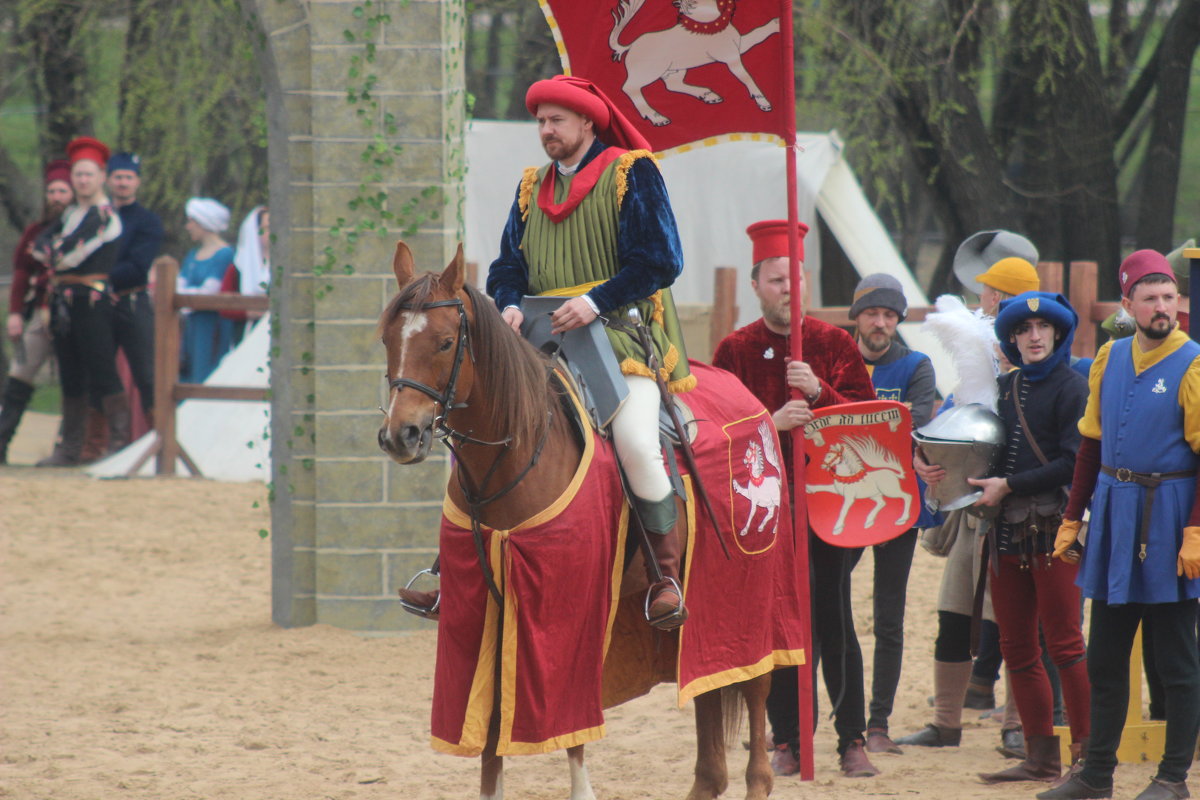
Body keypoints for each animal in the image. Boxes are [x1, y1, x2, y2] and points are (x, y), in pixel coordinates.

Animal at [376, 244, 796, 800]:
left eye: (445, 343)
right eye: (387, 339)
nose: (400, 435)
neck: (517, 452)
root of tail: (753, 405)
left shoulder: (563, 607)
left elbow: (569, 725)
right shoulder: (484, 608)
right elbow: (490, 729)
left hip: (747, 599)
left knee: (754, 691)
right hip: (698, 622)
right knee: (707, 704)